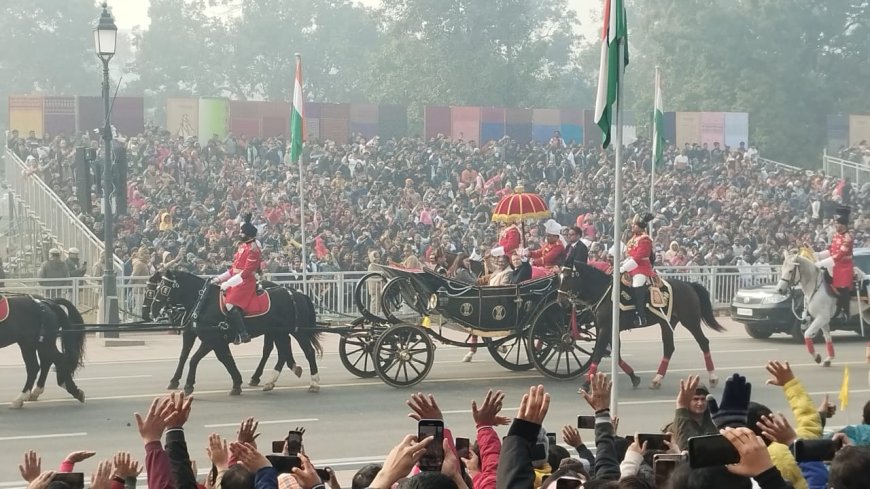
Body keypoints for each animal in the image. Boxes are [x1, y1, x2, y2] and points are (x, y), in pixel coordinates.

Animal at [152, 268, 324, 394]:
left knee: (308, 351)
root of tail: (297, 293)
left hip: (298, 331)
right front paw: (236, 383)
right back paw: (271, 380)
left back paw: (314, 382)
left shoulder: (211, 339)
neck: (203, 302)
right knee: (282, 352)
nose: (153, 309)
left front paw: (188, 385)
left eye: (164, 288)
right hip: (279, 332)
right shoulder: (214, 340)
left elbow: (194, 359)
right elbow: (224, 359)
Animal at [560, 262, 728, 390]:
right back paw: (657, 379)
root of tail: (688, 284)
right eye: (559, 277)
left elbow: (598, 353)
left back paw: (713, 377)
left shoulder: (605, 329)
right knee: (669, 348)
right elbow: (616, 355)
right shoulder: (612, 330)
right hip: (666, 323)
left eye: (567, 277)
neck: (606, 293)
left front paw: (587, 382)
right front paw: (633, 377)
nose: (560, 301)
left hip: (690, 320)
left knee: (703, 342)